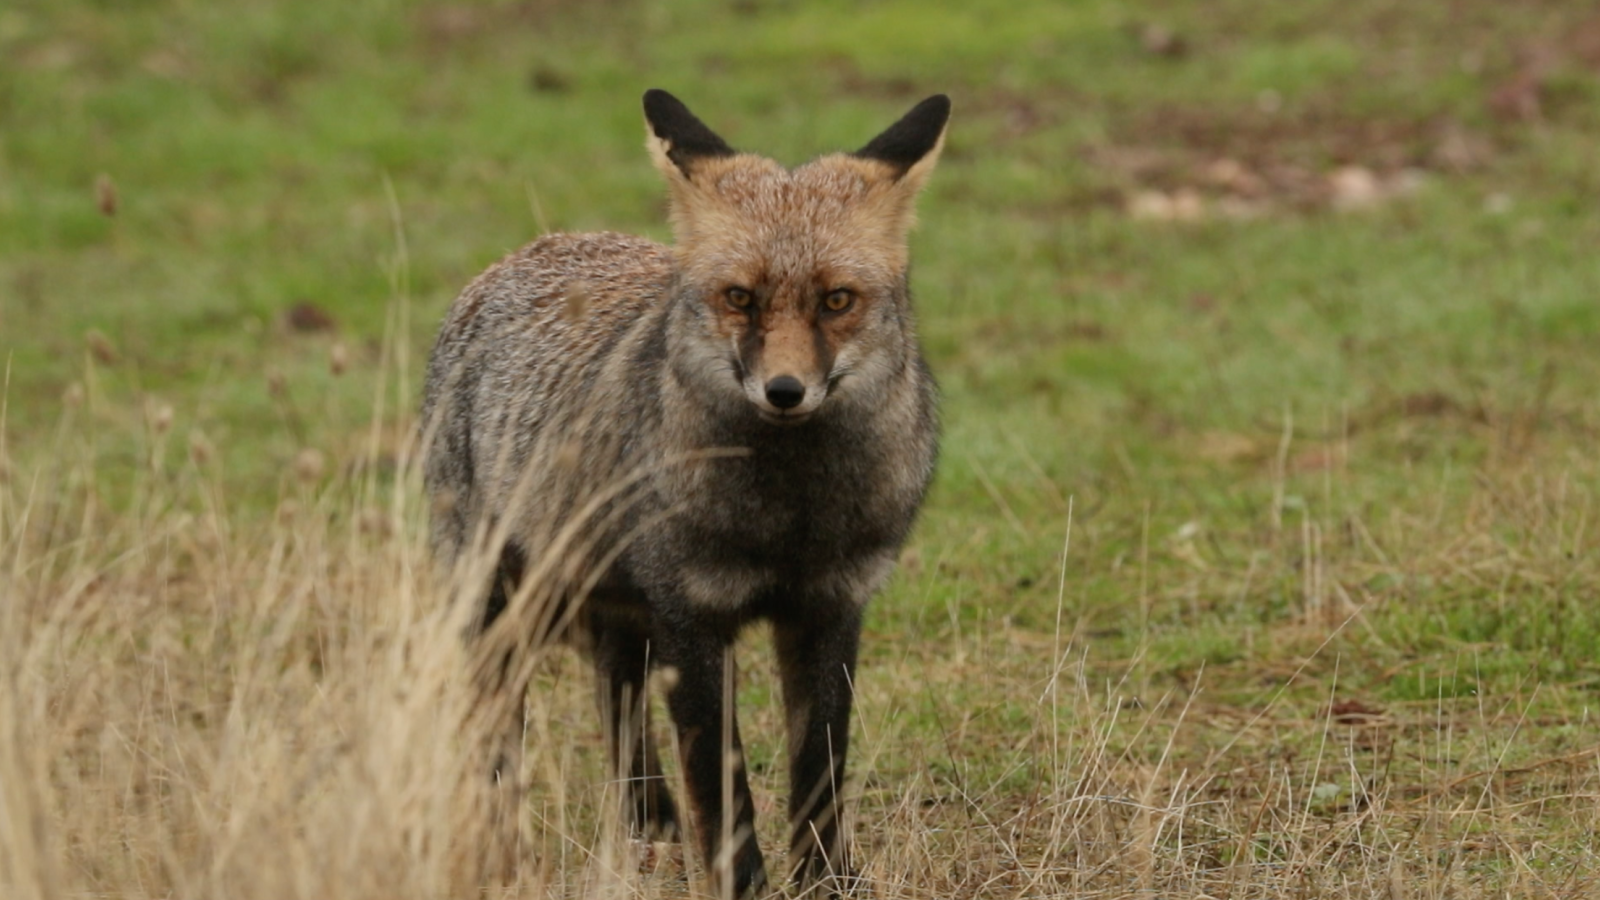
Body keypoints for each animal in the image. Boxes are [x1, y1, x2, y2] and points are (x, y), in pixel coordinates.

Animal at [420, 89, 949, 898]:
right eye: (739, 298)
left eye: (836, 300)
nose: (785, 391)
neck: (789, 519)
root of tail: (529, 251)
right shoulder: (693, 614)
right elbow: (723, 791)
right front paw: (745, 886)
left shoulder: (831, 607)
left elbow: (819, 776)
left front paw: (825, 883)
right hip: (505, 610)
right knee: (501, 739)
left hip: (619, 621)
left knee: (622, 727)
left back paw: (648, 837)